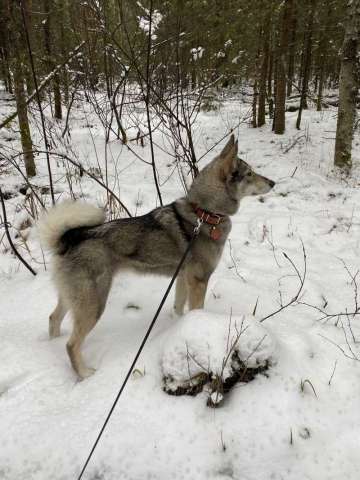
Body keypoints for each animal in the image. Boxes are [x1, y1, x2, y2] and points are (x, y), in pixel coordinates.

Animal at [38, 135, 276, 378]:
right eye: (250, 173)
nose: (273, 183)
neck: (205, 213)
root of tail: (69, 238)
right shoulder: (198, 281)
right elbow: (197, 310)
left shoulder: (182, 278)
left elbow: (179, 308)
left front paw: (180, 326)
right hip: (93, 305)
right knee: (71, 344)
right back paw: (85, 373)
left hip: (72, 299)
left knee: (53, 318)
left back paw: (52, 344)